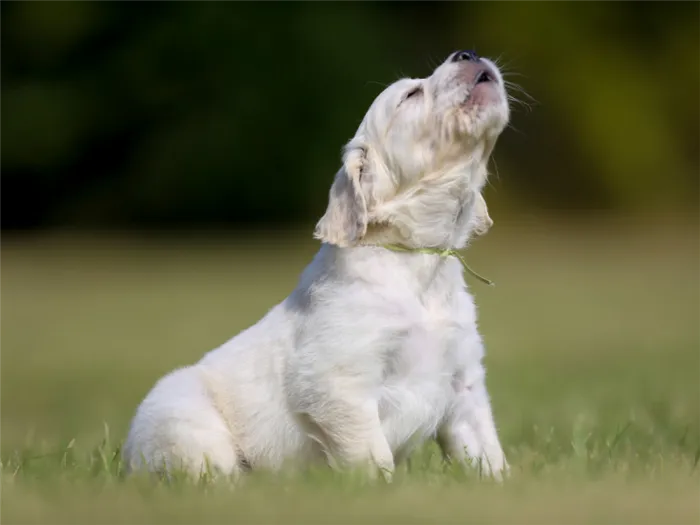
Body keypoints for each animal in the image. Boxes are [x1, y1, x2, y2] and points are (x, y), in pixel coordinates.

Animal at [121, 51, 508, 482]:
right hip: (185, 425)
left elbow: (485, 451)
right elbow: (372, 458)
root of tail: (128, 459)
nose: (466, 54)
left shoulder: (464, 383)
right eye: (410, 95)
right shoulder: (341, 385)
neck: (417, 258)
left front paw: (501, 484)